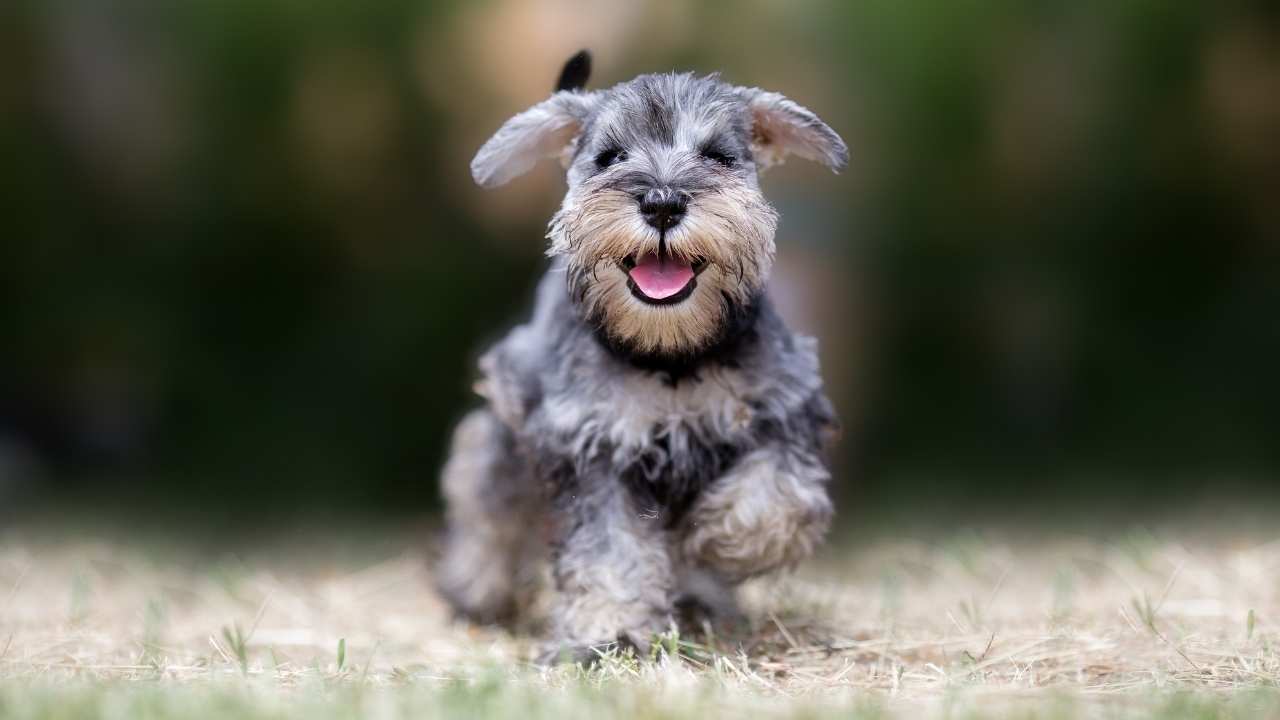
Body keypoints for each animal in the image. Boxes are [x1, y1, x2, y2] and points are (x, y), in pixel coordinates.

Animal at [440, 49, 849, 655]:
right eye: (611, 157)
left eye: (717, 156)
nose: (662, 202)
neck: (668, 353)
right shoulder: (592, 446)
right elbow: (610, 550)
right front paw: (608, 630)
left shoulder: (783, 410)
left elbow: (776, 499)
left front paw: (714, 541)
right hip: (504, 436)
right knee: (487, 504)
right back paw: (474, 589)